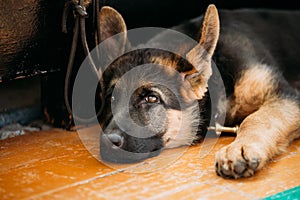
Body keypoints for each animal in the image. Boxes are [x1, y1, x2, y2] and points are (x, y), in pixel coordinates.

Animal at [97, 4, 298, 178]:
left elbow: (257, 118)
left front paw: (240, 148)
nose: (107, 141)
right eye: (112, 98)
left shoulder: (286, 95)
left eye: (152, 99)